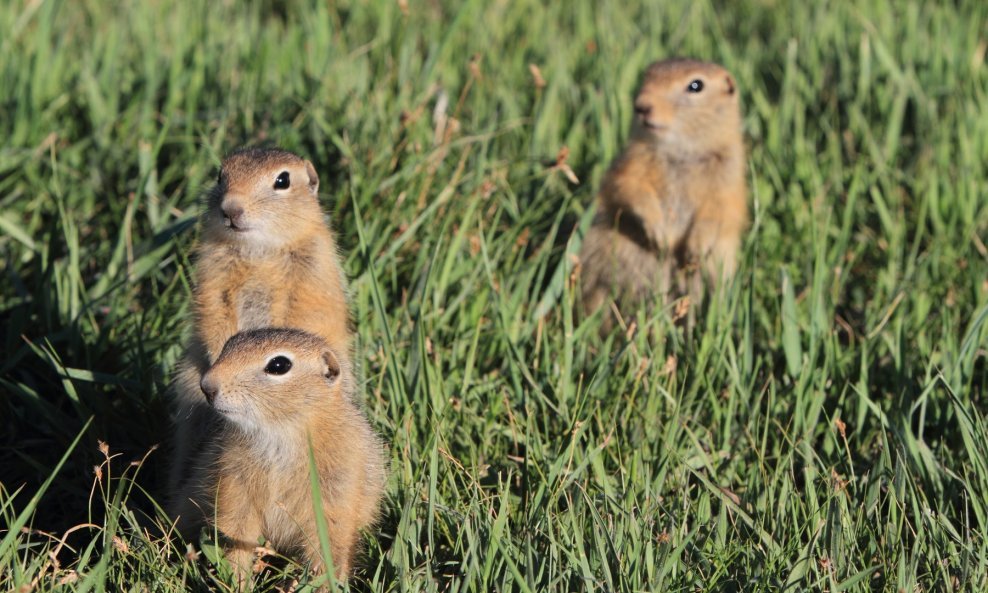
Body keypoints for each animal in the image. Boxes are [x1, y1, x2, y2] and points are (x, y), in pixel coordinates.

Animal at [168, 148, 354, 504]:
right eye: (220, 175)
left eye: (282, 180)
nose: (230, 208)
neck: (260, 248)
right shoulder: (212, 274)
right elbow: (212, 309)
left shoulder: (312, 269)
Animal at [170, 328, 386, 584]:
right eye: (229, 345)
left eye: (279, 365)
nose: (207, 386)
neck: (279, 433)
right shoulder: (234, 486)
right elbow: (235, 535)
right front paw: (236, 581)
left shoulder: (337, 492)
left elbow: (329, 547)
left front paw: (325, 585)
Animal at [580, 56, 748, 328]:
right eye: (646, 75)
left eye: (696, 85)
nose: (641, 106)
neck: (681, 150)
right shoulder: (631, 164)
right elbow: (630, 188)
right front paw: (661, 236)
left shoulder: (728, 179)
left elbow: (719, 211)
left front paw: (694, 248)